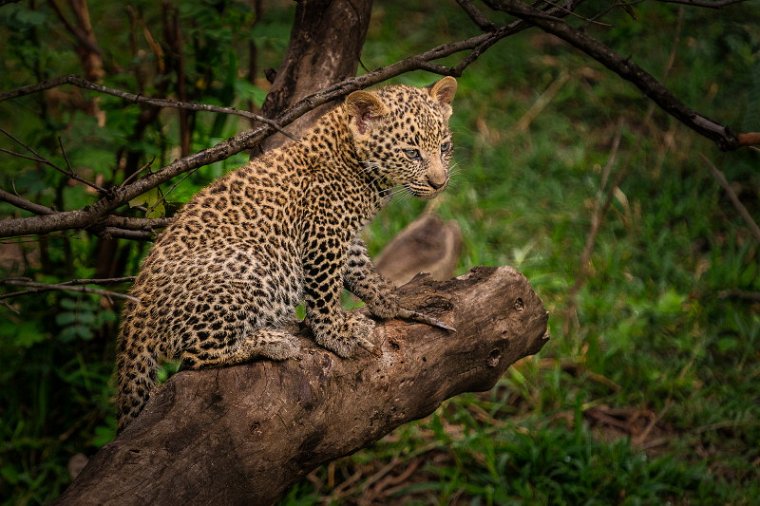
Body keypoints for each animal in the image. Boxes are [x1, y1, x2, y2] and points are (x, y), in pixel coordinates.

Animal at [113, 76, 458, 430]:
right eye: (412, 152)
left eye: (444, 148)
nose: (439, 183)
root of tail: (137, 309)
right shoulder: (324, 233)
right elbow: (325, 289)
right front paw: (335, 333)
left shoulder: (344, 235)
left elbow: (360, 268)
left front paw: (387, 299)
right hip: (251, 264)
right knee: (195, 353)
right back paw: (272, 341)